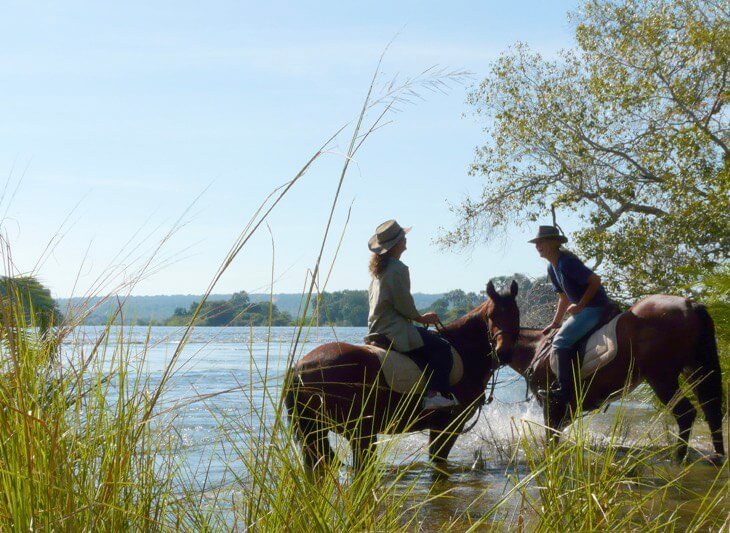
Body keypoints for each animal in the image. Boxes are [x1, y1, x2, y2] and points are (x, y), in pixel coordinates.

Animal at [282, 278, 516, 470]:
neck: (464, 351)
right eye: (491, 316)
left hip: (318, 431)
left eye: (515, 314)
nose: (504, 353)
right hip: (359, 432)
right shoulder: (449, 425)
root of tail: (301, 366)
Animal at [506, 296, 724, 462]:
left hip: (661, 378)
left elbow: (551, 439)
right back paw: (717, 457)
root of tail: (689, 305)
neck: (536, 350)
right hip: (695, 371)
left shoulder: (552, 406)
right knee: (711, 409)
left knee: (685, 413)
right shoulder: (567, 411)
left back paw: (677, 457)